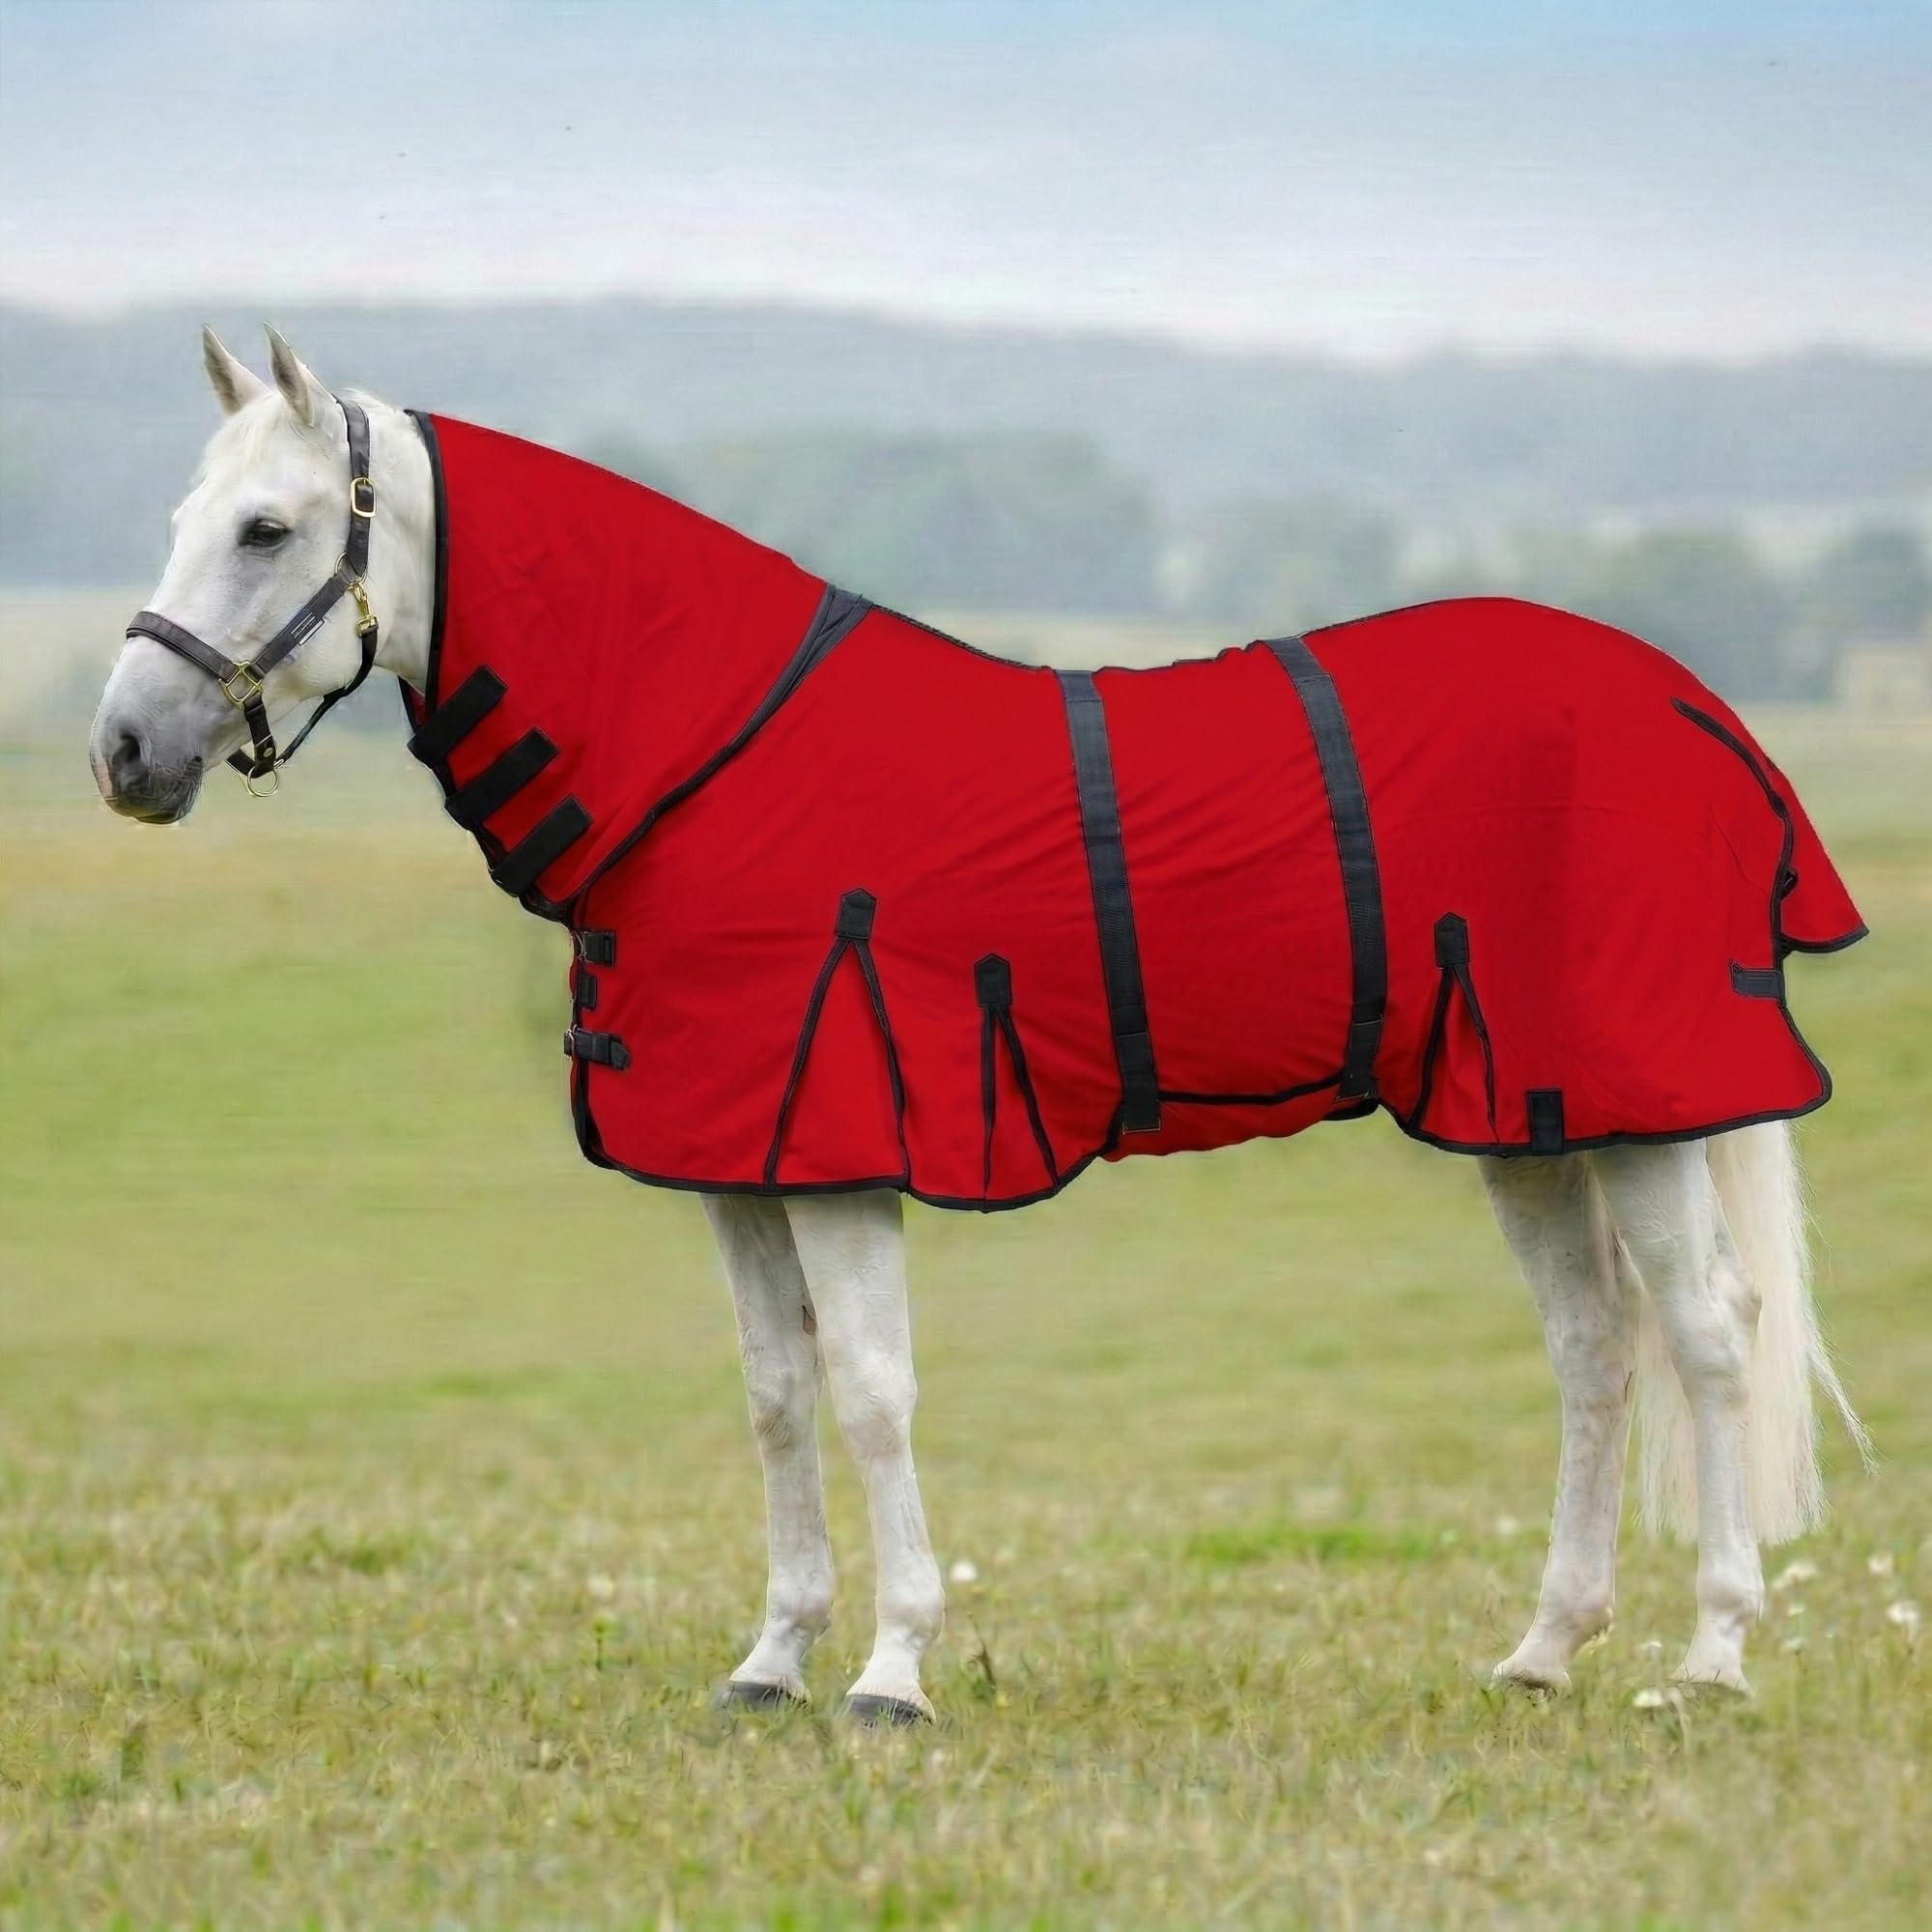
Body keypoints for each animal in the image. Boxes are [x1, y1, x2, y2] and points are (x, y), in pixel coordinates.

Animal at [88, 327, 1868, 1723]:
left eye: (266, 527)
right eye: (181, 518)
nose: (123, 753)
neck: (717, 753)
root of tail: (1688, 703)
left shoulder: (839, 1149)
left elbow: (874, 1392)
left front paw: (893, 1672)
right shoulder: (739, 1165)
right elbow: (776, 1394)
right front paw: (773, 1660)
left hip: (1636, 1110)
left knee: (1708, 1336)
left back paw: (1708, 1657)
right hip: (1528, 1118)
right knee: (1594, 1347)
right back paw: (1544, 1651)